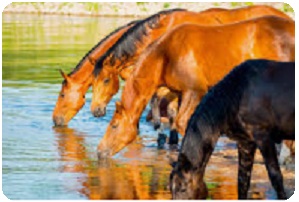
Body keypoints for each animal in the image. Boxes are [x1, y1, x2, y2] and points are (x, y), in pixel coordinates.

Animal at [96, 16, 296, 158]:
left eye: (114, 126)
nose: (99, 152)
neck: (165, 56)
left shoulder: (194, 91)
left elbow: (184, 123)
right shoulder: (177, 93)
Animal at [170, 59, 296, 199]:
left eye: (183, 189)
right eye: (171, 189)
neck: (238, 94)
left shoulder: (263, 137)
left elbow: (276, 176)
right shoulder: (245, 142)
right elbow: (242, 181)